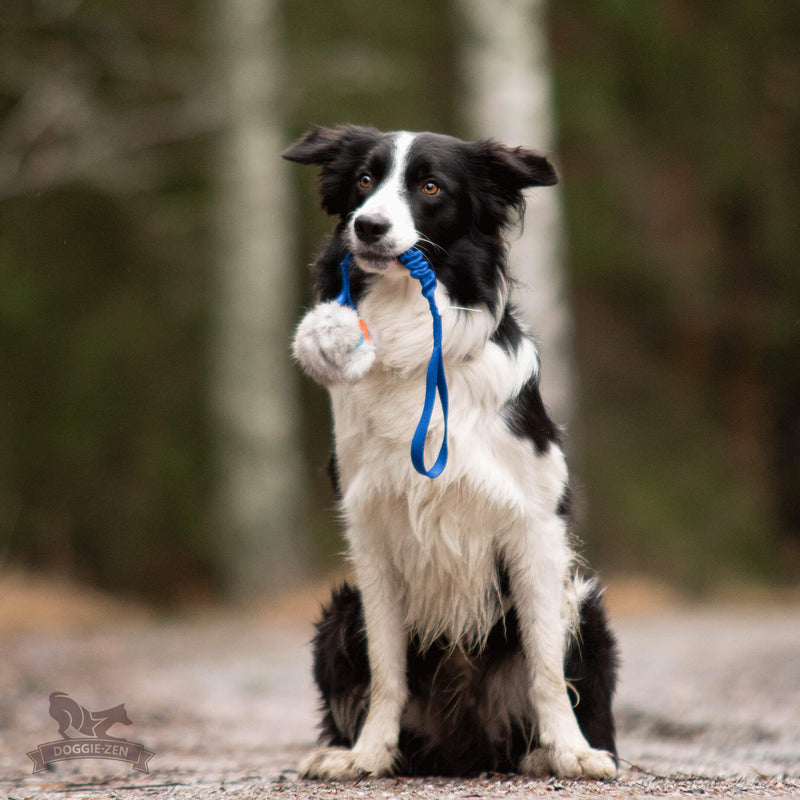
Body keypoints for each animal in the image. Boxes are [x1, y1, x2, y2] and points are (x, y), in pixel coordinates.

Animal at [282, 126, 620, 780]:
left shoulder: (535, 527)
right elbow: (387, 670)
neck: (414, 338)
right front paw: (366, 754)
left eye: (431, 187)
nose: (367, 226)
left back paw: (544, 753)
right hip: (339, 612)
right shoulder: (371, 533)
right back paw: (347, 750)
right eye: (363, 180)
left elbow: (546, 667)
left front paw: (571, 751)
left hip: (586, 604)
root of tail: (467, 750)